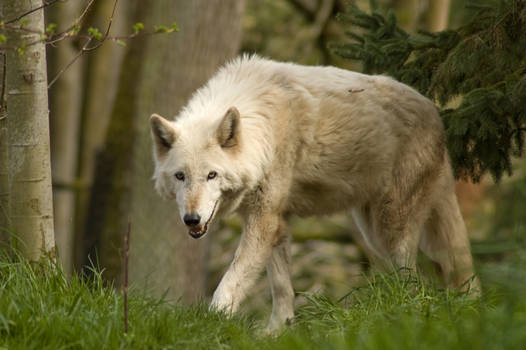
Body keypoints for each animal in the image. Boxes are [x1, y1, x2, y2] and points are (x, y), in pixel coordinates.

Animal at [151, 54, 480, 330]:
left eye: (212, 175)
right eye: (180, 177)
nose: (192, 219)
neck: (263, 128)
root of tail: (436, 115)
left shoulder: (264, 220)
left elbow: (230, 283)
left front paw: (212, 325)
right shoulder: (277, 223)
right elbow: (282, 288)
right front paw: (278, 332)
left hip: (393, 230)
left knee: (415, 280)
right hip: (374, 235)